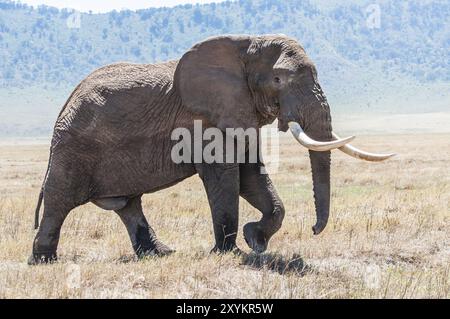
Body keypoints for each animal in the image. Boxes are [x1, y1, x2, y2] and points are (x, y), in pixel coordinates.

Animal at [29, 34, 394, 264]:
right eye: (278, 80)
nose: (315, 230)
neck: (245, 44)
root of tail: (67, 102)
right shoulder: (203, 121)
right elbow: (225, 178)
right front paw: (229, 253)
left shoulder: (237, 112)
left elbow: (251, 176)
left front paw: (255, 240)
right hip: (73, 148)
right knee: (60, 202)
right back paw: (43, 261)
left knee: (129, 205)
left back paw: (161, 254)